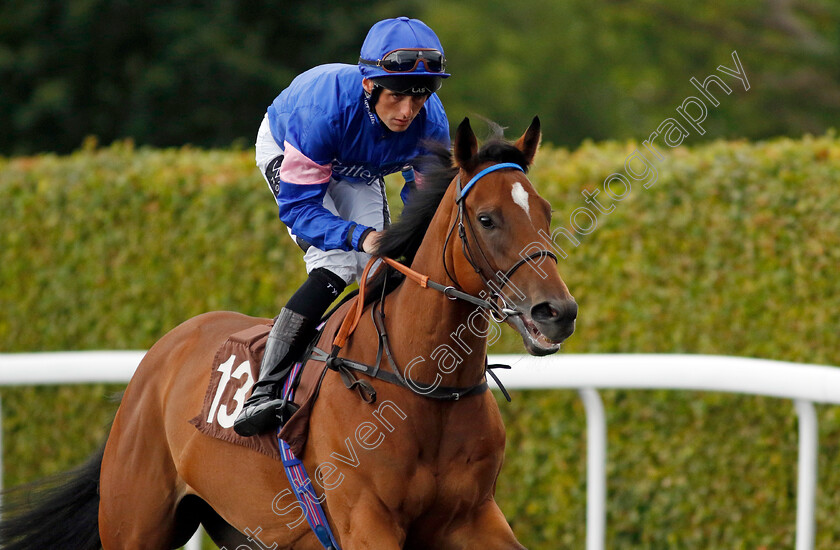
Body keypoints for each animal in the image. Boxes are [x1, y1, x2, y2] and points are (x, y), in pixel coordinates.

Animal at [0, 115, 576, 548]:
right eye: (487, 218)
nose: (557, 311)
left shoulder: (474, 517)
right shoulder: (365, 520)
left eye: (546, 211)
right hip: (135, 522)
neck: (423, 387)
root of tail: (159, 356)